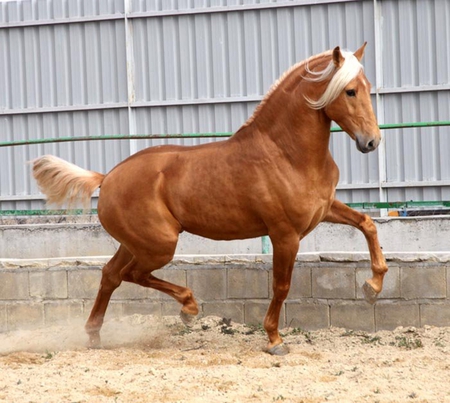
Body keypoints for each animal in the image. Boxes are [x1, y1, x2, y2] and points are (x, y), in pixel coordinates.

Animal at [33, 42, 388, 356]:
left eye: (367, 87)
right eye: (350, 91)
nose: (371, 142)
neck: (286, 154)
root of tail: (106, 178)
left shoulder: (324, 210)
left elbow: (367, 224)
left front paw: (372, 288)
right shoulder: (284, 235)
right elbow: (282, 286)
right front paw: (274, 340)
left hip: (137, 243)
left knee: (110, 275)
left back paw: (95, 336)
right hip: (160, 245)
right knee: (131, 275)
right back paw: (188, 309)